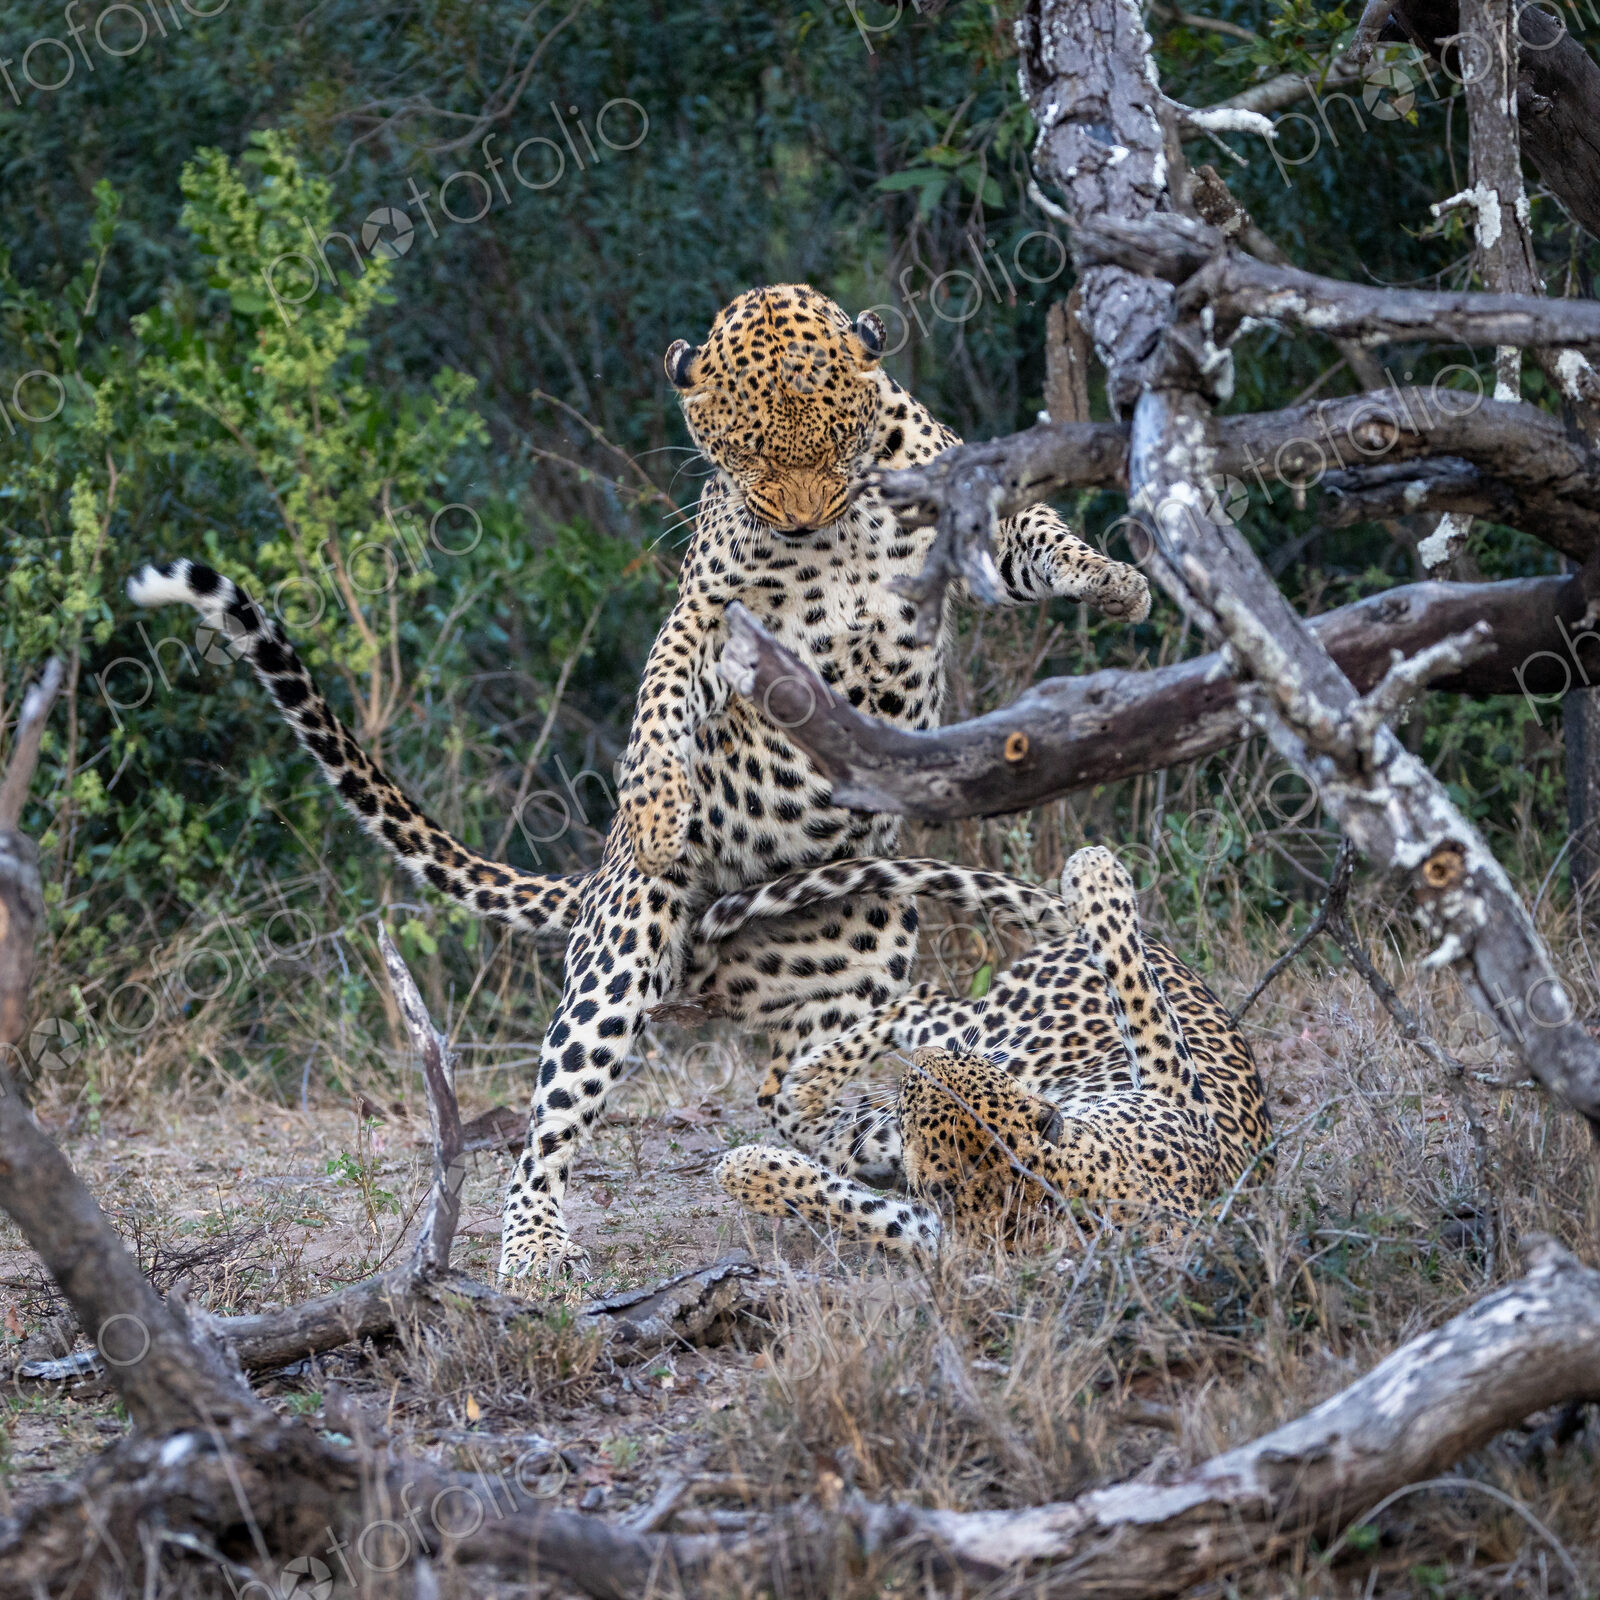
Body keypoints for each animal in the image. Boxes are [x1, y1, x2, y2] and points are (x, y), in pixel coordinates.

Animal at [129, 282, 1151, 1285]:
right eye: (743, 450)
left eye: (836, 436)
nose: (801, 519)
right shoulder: (710, 613)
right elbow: (661, 695)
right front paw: (658, 803)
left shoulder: (971, 512)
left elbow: (1039, 537)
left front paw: (1117, 579)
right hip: (623, 950)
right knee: (552, 1120)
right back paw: (536, 1246)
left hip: (853, 965)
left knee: (795, 1091)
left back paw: (886, 1138)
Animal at [712, 846, 1272, 1256]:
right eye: (969, 1070)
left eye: (920, 1093)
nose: (921, 1064)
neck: (1054, 1182)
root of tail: (1170, 952)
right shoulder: (1172, 1095)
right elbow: (1140, 997)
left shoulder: (942, 1231)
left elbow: (861, 1213)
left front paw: (746, 1170)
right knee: (922, 1002)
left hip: (1008, 1027)